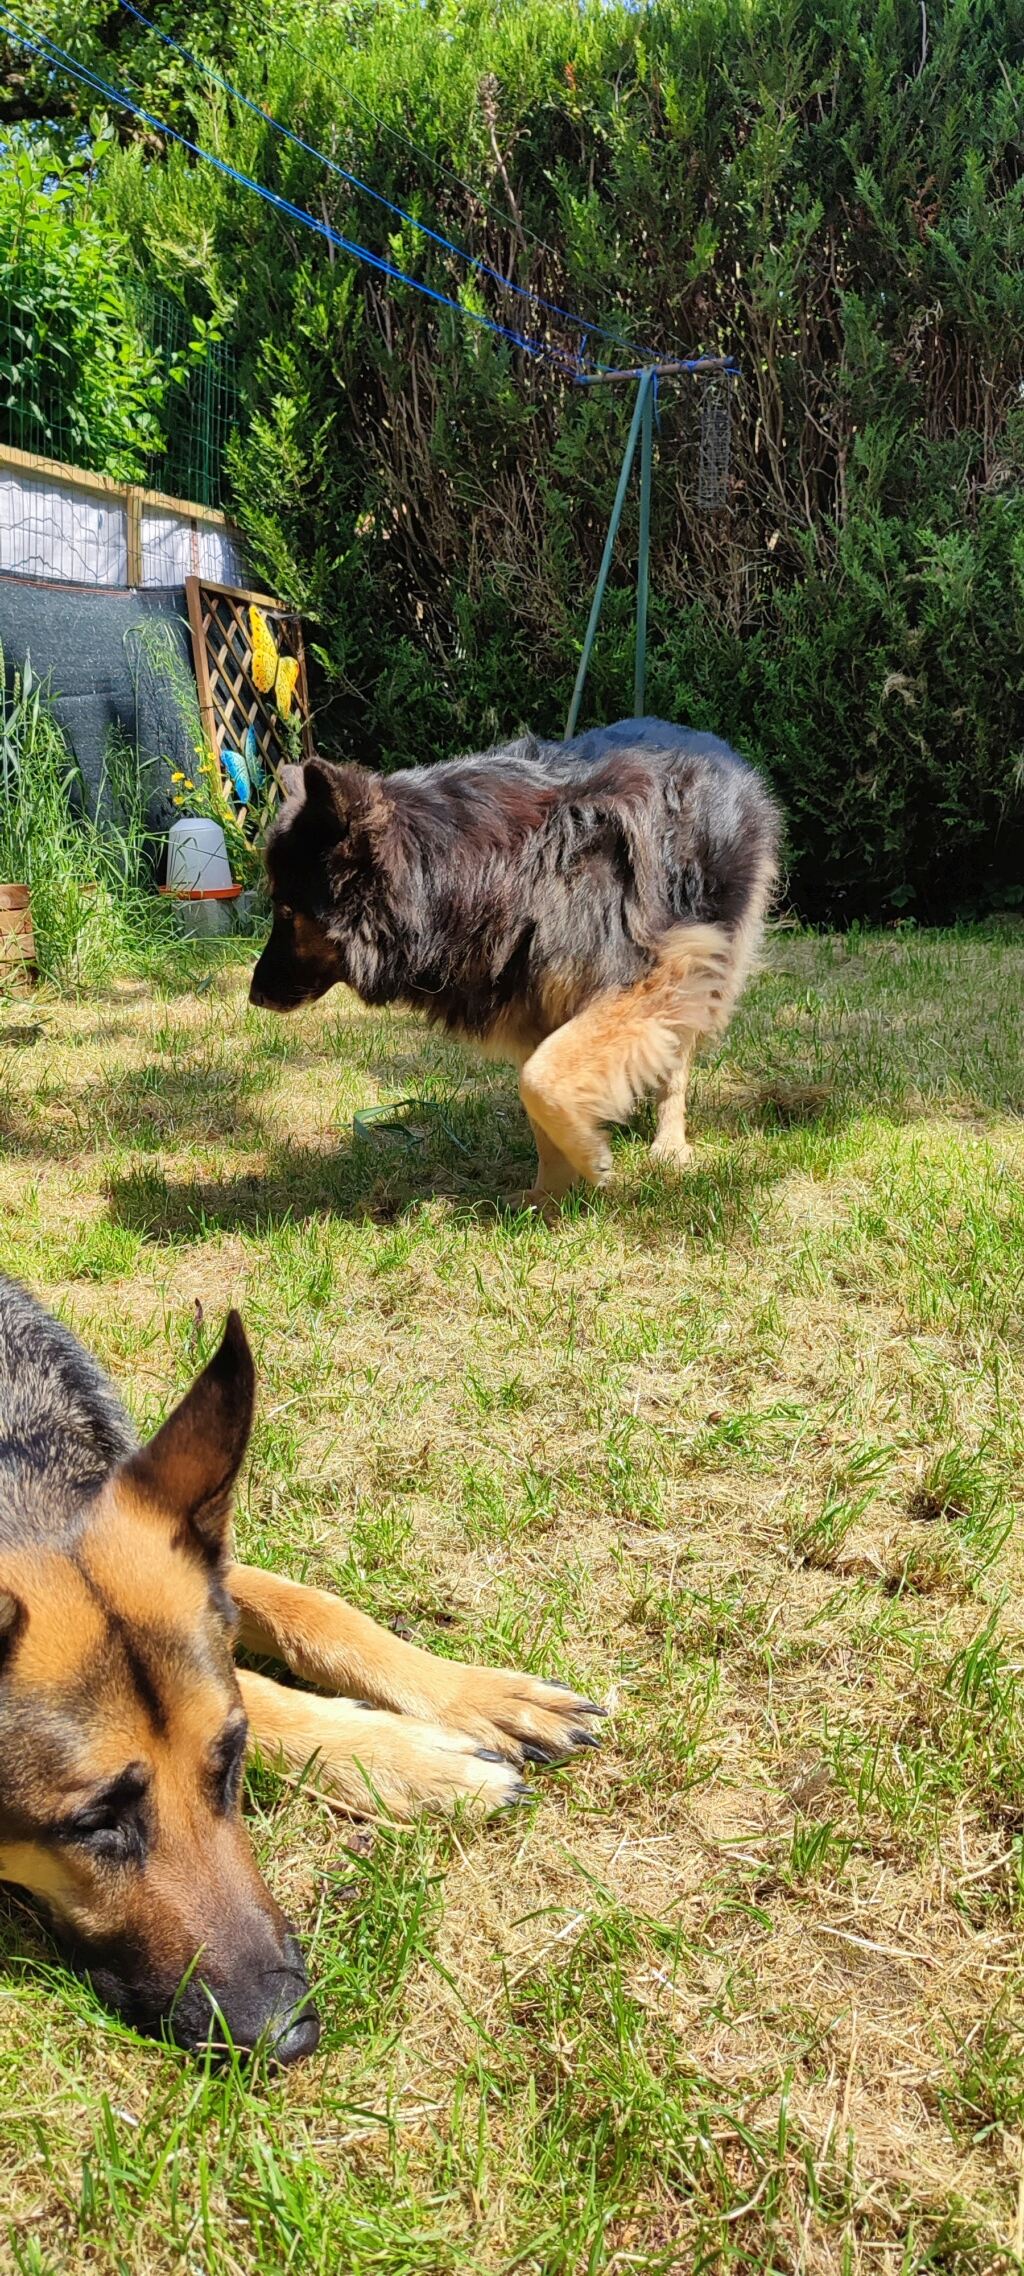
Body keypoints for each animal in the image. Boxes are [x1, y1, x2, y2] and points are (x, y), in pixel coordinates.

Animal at [0, 1283, 600, 2066]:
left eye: (229, 1762)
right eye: (91, 1823)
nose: (290, 2035)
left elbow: (315, 1607)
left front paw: (479, 1696)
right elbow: (267, 1690)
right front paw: (420, 1765)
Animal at [251, 719, 778, 1201]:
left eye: (286, 909)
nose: (254, 997)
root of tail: (709, 742)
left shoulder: (651, 971)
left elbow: (539, 1081)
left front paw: (589, 1157)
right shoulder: (528, 996)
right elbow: (537, 1096)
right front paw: (547, 1200)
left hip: (706, 951)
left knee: (678, 1056)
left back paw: (669, 1143)